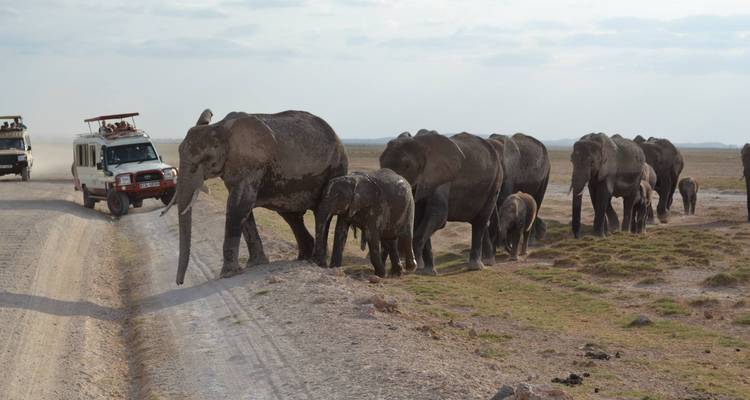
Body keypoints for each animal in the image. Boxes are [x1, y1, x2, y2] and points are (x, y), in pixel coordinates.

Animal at [165, 109, 348, 285]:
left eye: (205, 159)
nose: (180, 283)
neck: (220, 128)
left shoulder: (251, 164)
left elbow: (238, 206)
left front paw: (228, 274)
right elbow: (242, 210)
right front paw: (256, 264)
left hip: (336, 169)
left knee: (321, 213)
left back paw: (317, 262)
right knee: (291, 216)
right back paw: (304, 257)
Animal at [379, 130, 503, 275]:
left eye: (407, 166)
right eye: (381, 163)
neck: (419, 142)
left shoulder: (441, 177)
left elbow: (438, 215)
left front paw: (414, 266)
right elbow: (420, 217)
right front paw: (427, 272)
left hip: (495, 184)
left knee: (481, 221)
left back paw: (476, 267)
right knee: (481, 222)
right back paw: (487, 262)